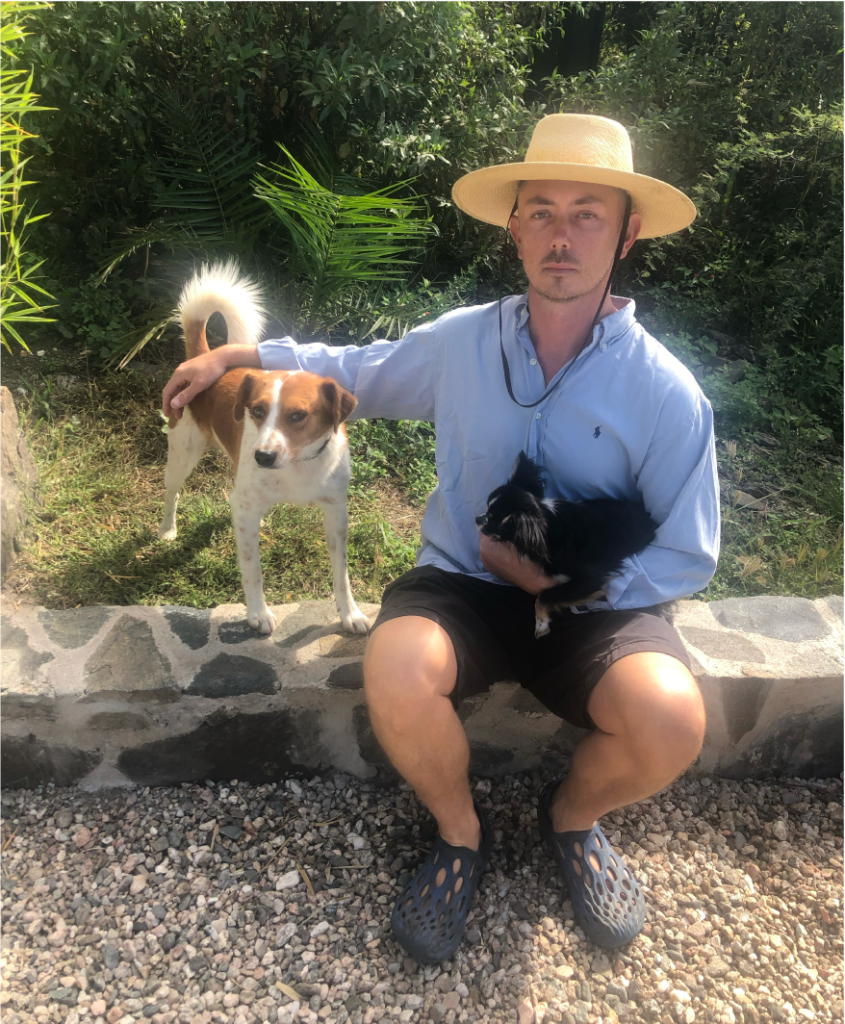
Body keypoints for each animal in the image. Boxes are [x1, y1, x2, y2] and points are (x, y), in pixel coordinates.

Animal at [158, 262, 368, 630]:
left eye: (298, 415)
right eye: (256, 411)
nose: (262, 456)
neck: (299, 465)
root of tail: (204, 357)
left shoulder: (336, 511)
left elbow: (341, 574)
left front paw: (349, 613)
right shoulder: (246, 511)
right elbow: (252, 568)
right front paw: (257, 612)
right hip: (183, 453)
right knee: (173, 492)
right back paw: (168, 529)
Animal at [475, 452, 659, 634]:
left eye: (492, 521)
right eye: (487, 508)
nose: (477, 518)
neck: (546, 523)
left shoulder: (590, 580)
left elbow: (545, 595)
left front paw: (541, 623)